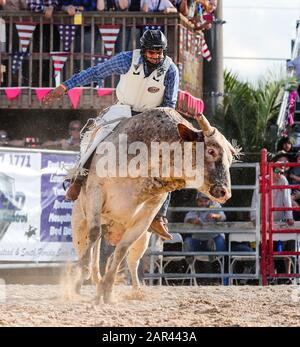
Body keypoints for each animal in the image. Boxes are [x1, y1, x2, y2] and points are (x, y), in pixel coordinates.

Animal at [69, 107, 237, 304]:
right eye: (211, 151)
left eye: (230, 159)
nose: (224, 192)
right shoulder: (96, 190)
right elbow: (94, 233)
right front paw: (83, 274)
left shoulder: (145, 217)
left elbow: (122, 250)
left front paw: (107, 291)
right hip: (79, 221)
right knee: (87, 244)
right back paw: (78, 282)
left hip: (142, 238)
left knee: (130, 261)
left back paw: (134, 290)